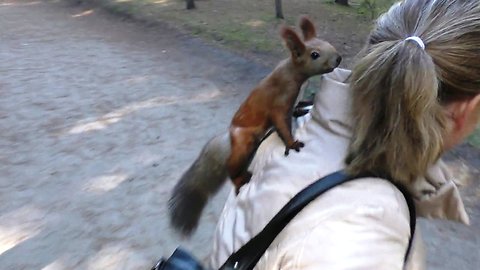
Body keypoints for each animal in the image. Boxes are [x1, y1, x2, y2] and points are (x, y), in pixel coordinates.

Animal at [169, 16, 342, 236]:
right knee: (231, 169)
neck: (291, 72)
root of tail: (230, 138)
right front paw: (292, 143)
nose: (338, 58)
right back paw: (239, 181)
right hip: (245, 143)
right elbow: (282, 124)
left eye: (328, 42)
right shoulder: (278, 103)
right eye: (314, 55)